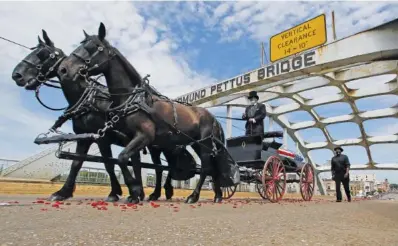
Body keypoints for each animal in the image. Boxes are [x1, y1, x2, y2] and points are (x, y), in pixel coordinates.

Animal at [10, 31, 188, 202]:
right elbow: (77, 163)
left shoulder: (102, 138)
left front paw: (116, 192)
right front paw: (63, 192)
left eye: (43, 54)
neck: (88, 99)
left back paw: (161, 191)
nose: (16, 75)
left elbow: (109, 164)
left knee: (163, 168)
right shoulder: (84, 137)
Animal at [58, 22, 233, 204]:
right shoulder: (130, 138)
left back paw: (194, 196)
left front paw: (134, 190)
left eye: (94, 47)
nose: (64, 69)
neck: (132, 98)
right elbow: (130, 163)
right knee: (211, 168)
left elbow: (121, 158)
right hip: (197, 144)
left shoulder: (144, 135)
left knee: (205, 168)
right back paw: (218, 195)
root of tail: (214, 118)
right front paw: (136, 192)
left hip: (205, 143)